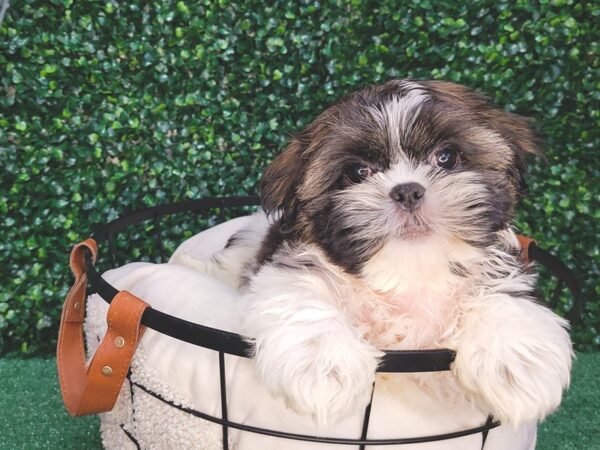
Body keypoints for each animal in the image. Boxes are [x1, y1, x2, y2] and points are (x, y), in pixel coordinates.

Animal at [196, 79, 572, 428]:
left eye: (447, 157)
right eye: (357, 172)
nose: (407, 191)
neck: (411, 270)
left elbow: (503, 295)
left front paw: (517, 362)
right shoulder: (292, 264)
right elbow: (299, 293)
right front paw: (322, 365)